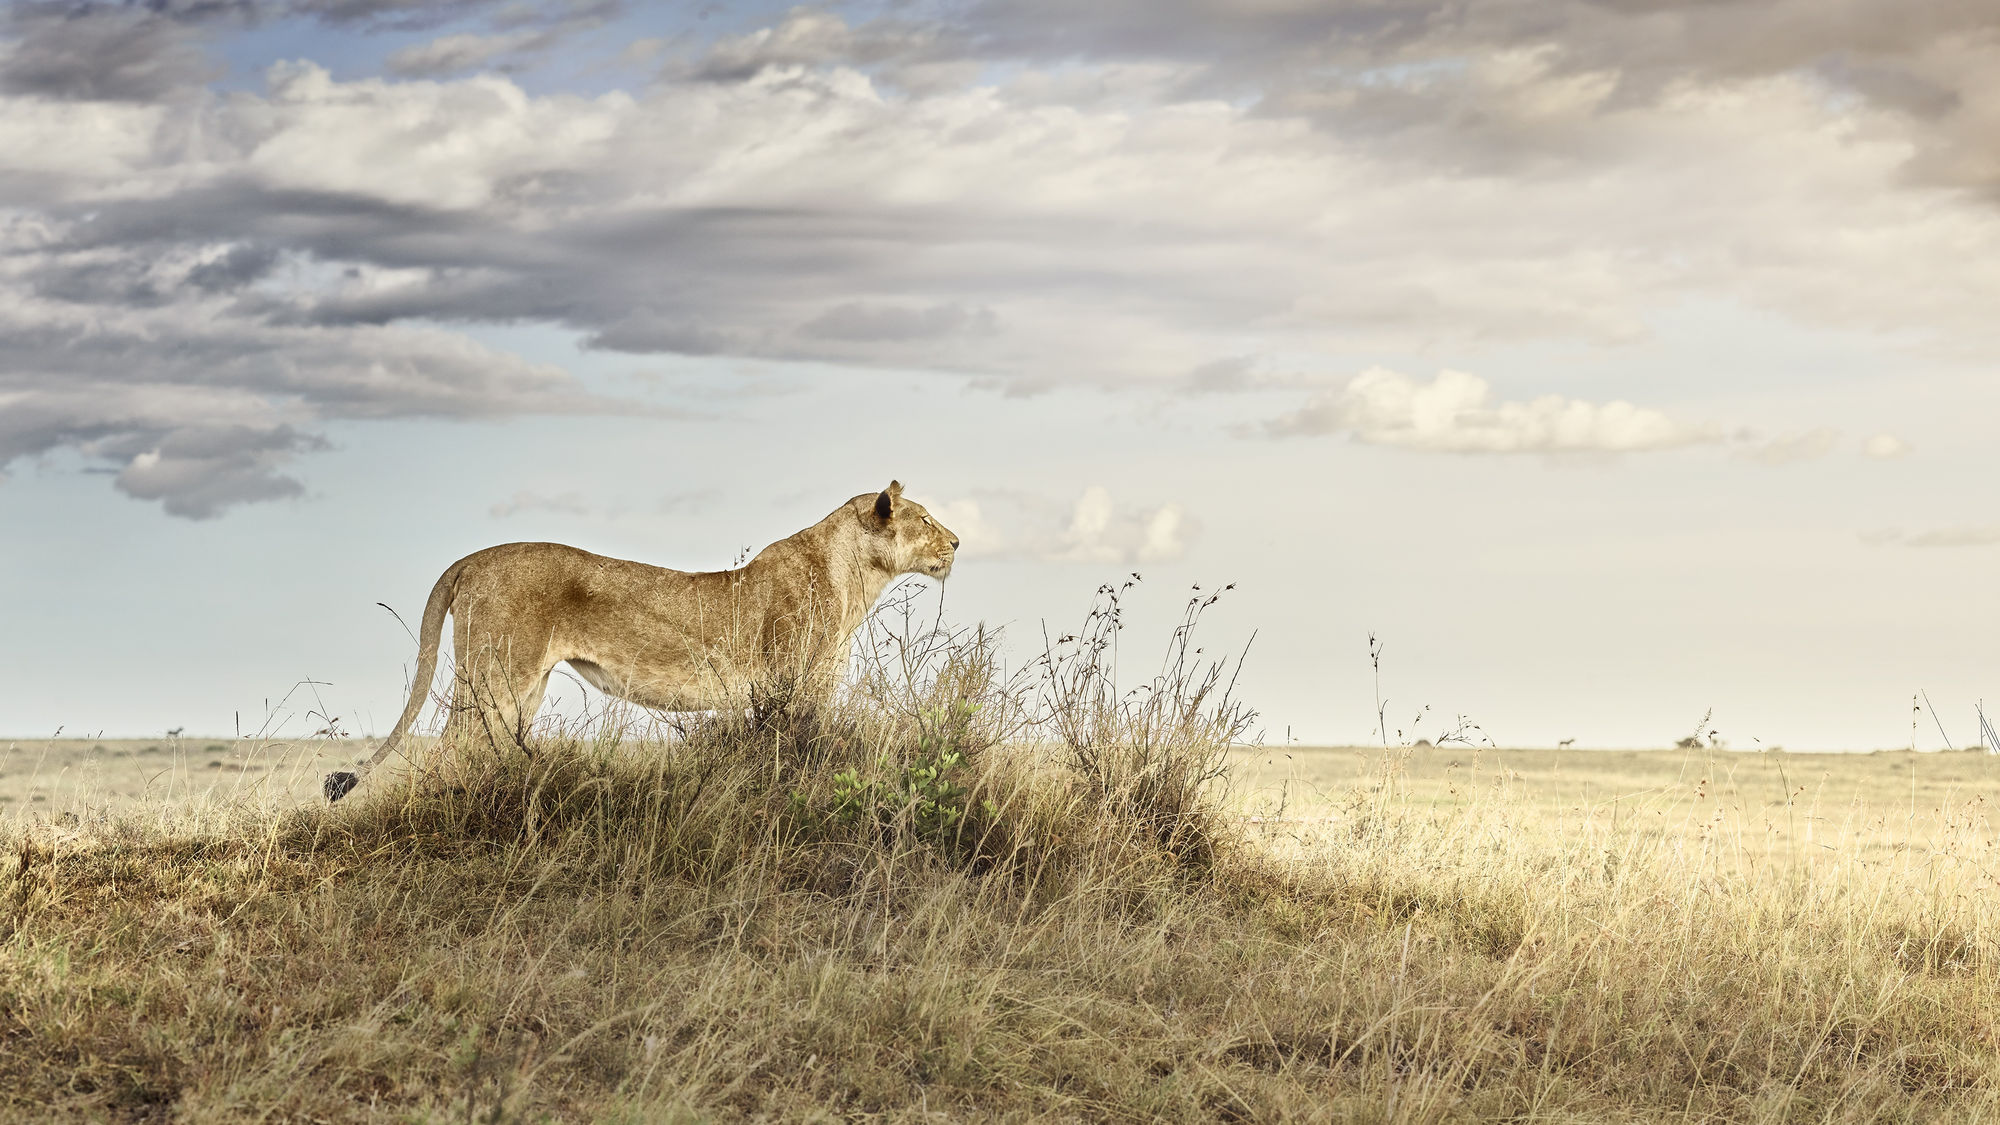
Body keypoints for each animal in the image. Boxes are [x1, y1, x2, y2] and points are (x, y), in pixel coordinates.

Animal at [323, 481, 958, 802]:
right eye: (925, 520)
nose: (956, 541)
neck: (855, 576)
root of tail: (471, 558)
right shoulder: (791, 684)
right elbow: (799, 755)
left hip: (521, 690)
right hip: (497, 678)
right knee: (449, 750)